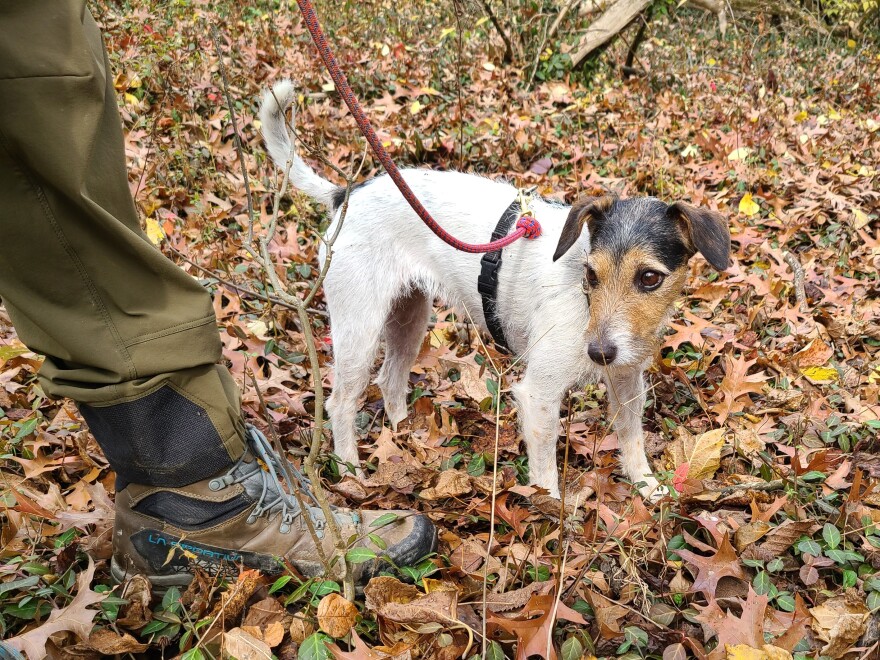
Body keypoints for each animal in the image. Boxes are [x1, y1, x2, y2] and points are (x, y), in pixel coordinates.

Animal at [260, 80, 728, 498]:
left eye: (649, 278)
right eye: (591, 275)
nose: (598, 352)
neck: (583, 303)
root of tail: (346, 195)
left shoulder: (628, 381)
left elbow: (633, 440)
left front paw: (647, 487)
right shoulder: (539, 394)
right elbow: (545, 477)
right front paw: (549, 516)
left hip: (410, 317)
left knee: (391, 379)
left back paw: (405, 438)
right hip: (359, 328)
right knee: (340, 404)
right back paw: (350, 471)